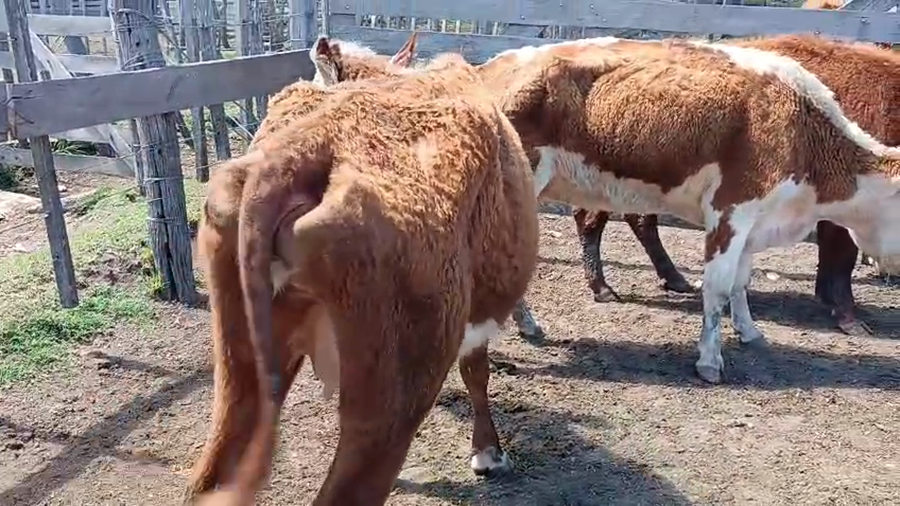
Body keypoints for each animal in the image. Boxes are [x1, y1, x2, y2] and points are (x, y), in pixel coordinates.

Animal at [575, 33, 900, 336]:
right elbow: (842, 259)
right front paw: (850, 319)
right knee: (591, 220)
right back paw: (603, 288)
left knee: (639, 221)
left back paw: (676, 279)